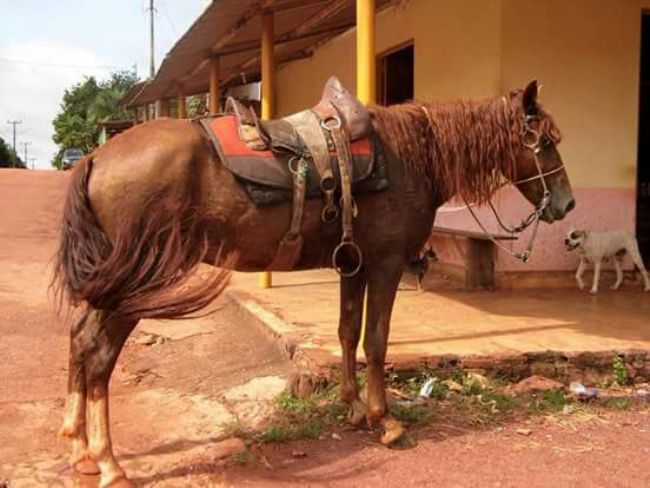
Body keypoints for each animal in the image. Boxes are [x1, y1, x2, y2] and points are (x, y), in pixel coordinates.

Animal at [55, 82, 572, 486]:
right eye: (546, 142)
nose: (565, 204)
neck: (412, 156)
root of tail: (97, 157)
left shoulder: (354, 265)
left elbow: (346, 333)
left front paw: (353, 408)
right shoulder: (385, 265)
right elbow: (377, 341)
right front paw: (385, 420)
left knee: (80, 339)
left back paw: (79, 448)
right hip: (136, 282)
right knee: (99, 354)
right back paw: (109, 463)